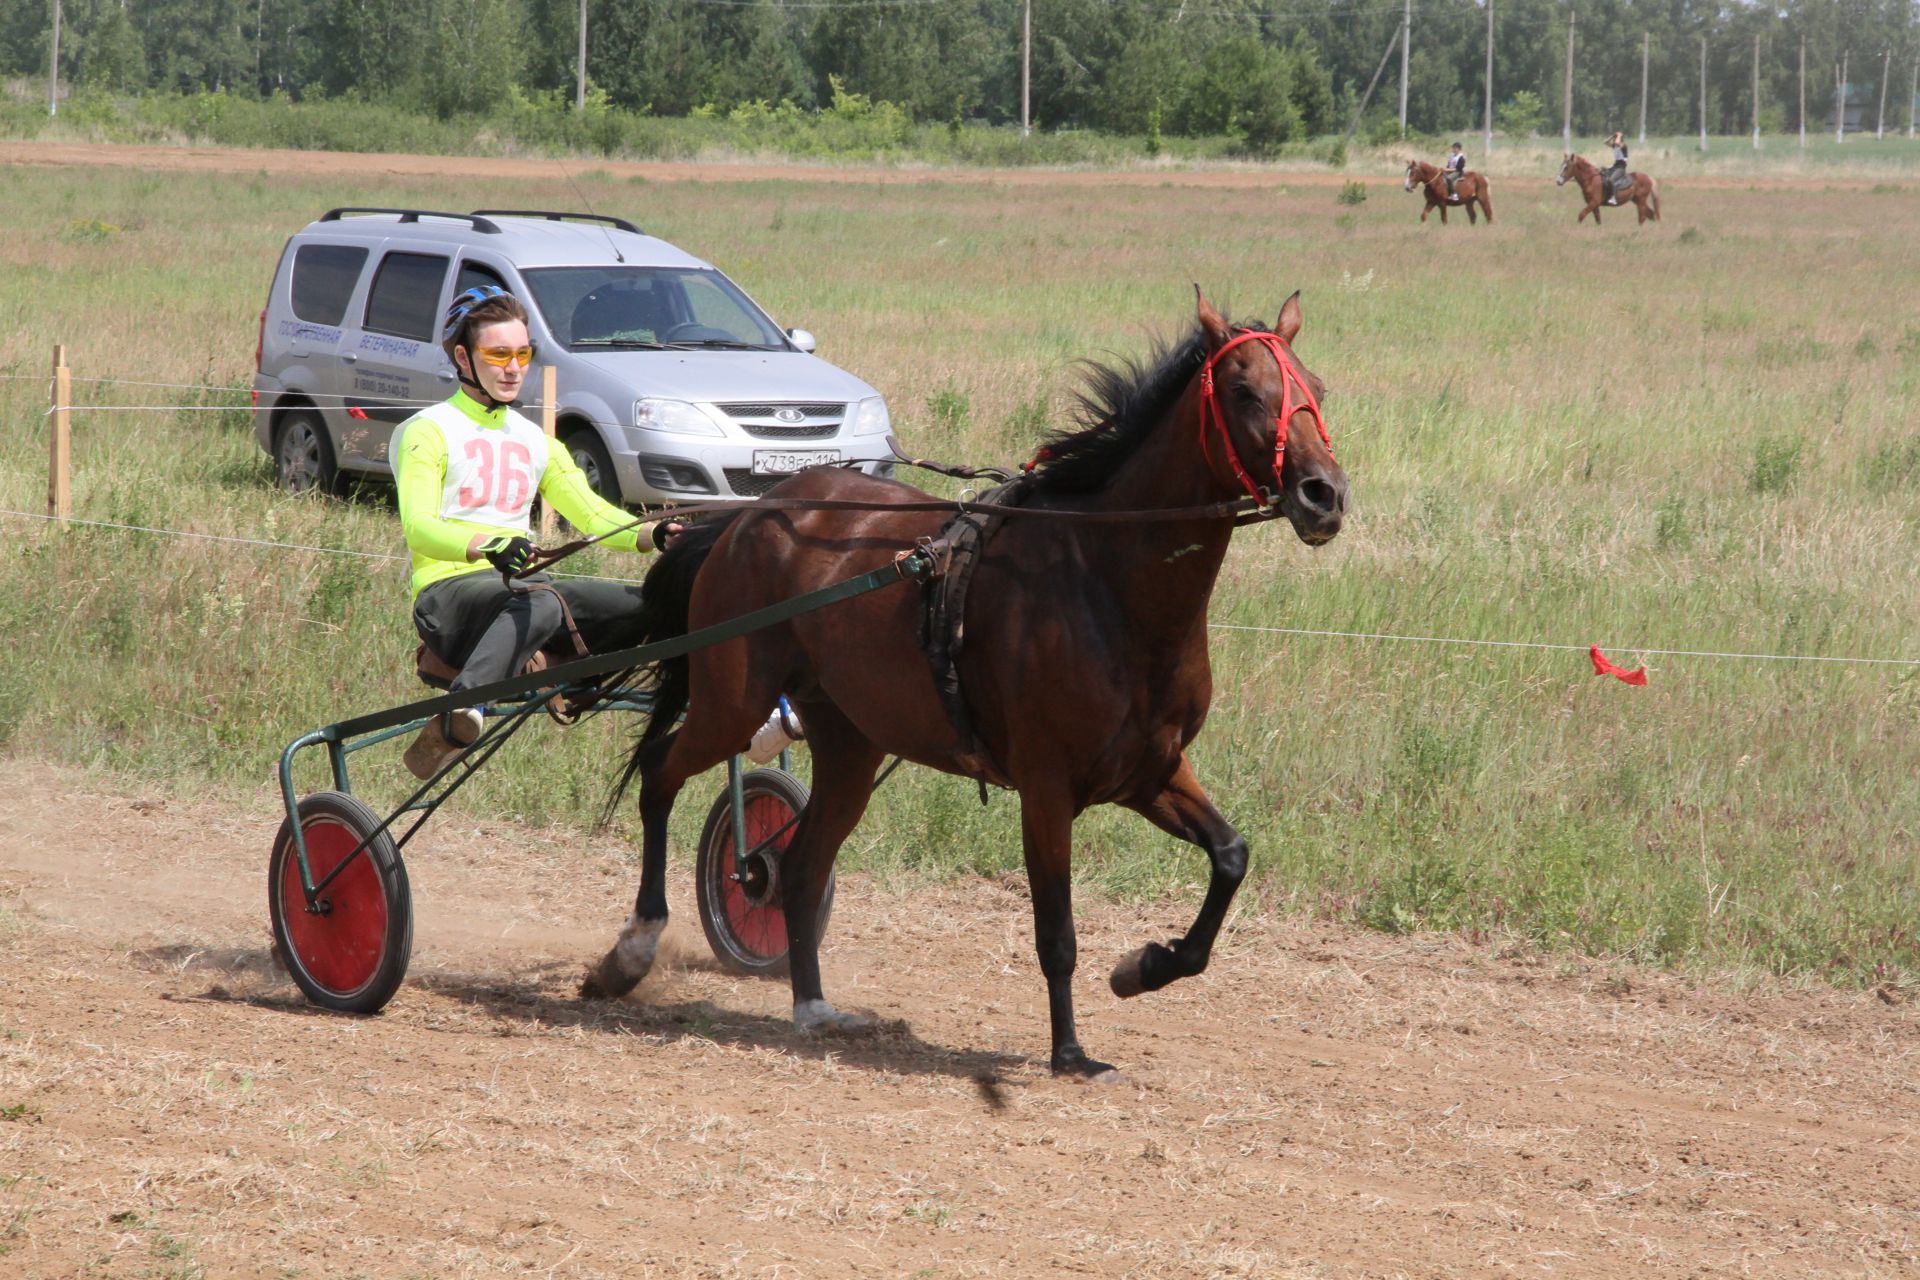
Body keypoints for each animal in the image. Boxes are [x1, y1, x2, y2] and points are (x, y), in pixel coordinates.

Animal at [583, 289, 1351, 1082]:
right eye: (1244, 391)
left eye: (1317, 390)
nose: (1323, 494)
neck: (1108, 582)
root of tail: (746, 515)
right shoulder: (1047, 786)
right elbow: (1056, 931)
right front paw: (1071, 1052)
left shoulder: (1151, 769)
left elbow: (1231, 857)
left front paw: (1145, 967)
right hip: (733, 700)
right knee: (659, 773)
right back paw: (633, 948)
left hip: (849, 740)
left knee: (797, 866)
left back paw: (813, 1007)